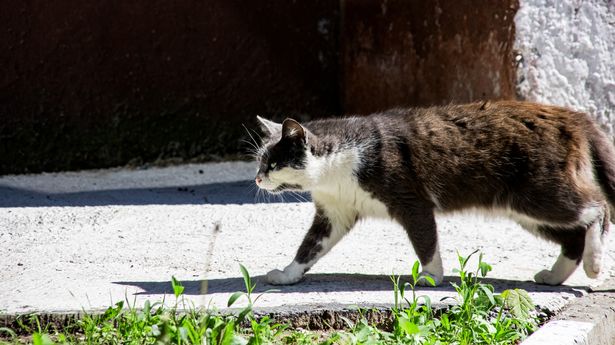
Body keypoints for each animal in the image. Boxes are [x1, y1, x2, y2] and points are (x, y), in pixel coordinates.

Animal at [251, 101, 615, 286]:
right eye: (259, 161)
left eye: (273, 163)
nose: (256, 179)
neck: (337, 170)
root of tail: (575, 116)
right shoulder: (335, 212)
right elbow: (310, 246)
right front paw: (287, 274)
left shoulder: (411, 200)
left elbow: (425, 239)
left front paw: (430, 277)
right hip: (526, 210)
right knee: (573, 237)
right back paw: (554, 276)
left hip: (540, 193)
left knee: (597, 209)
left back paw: (595, 263)